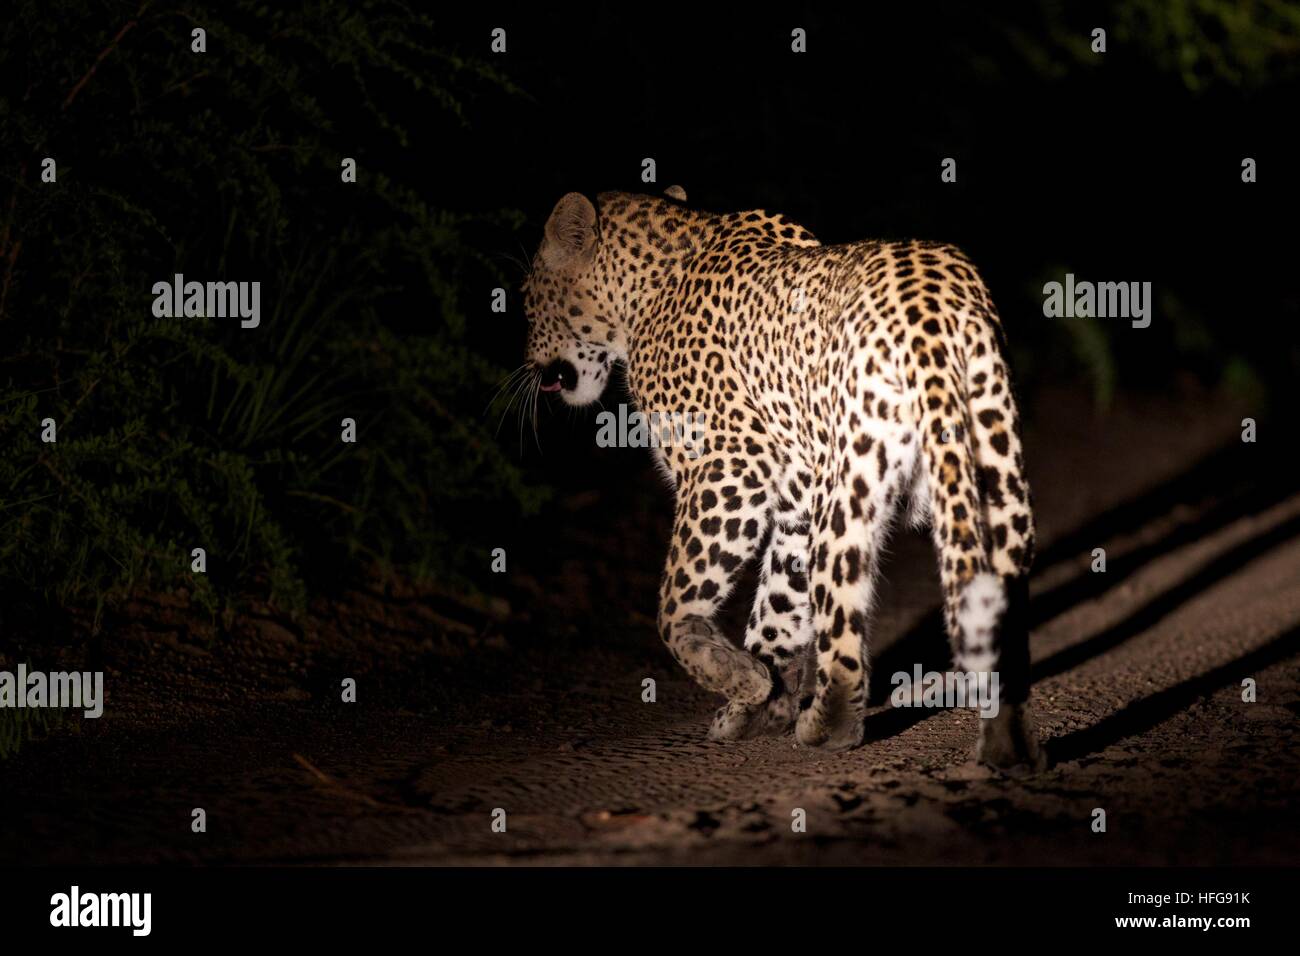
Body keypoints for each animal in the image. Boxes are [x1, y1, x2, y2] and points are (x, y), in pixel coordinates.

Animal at [520, 186, 1044, 770]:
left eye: (525, 298)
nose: (530, 362)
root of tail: (928, 303)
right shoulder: (793, 504)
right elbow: (777, 607)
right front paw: (758, 701)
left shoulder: (728, 468)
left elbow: (676, 604)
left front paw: (742, 683)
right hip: (996, 468)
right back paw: (1000, 736)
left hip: (849, 491)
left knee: (843, 620)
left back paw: (826, 725)